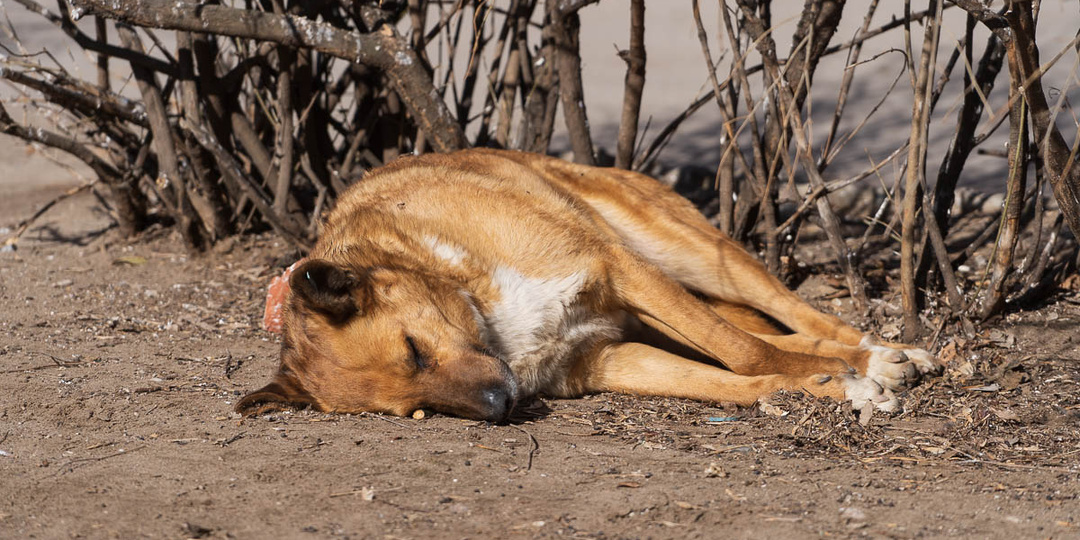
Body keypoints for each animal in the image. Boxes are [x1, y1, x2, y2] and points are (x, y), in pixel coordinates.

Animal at [236, 149, 937, 421]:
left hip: (685, 256)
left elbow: (744, 351)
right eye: (419, 409)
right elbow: (735, 379)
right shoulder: (605, 359)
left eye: (414, 350)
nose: (500, 406)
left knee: (787, 315)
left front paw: (853, 375)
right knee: (761, 332)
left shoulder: (614, 268)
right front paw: (827, 388)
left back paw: (877, 350)